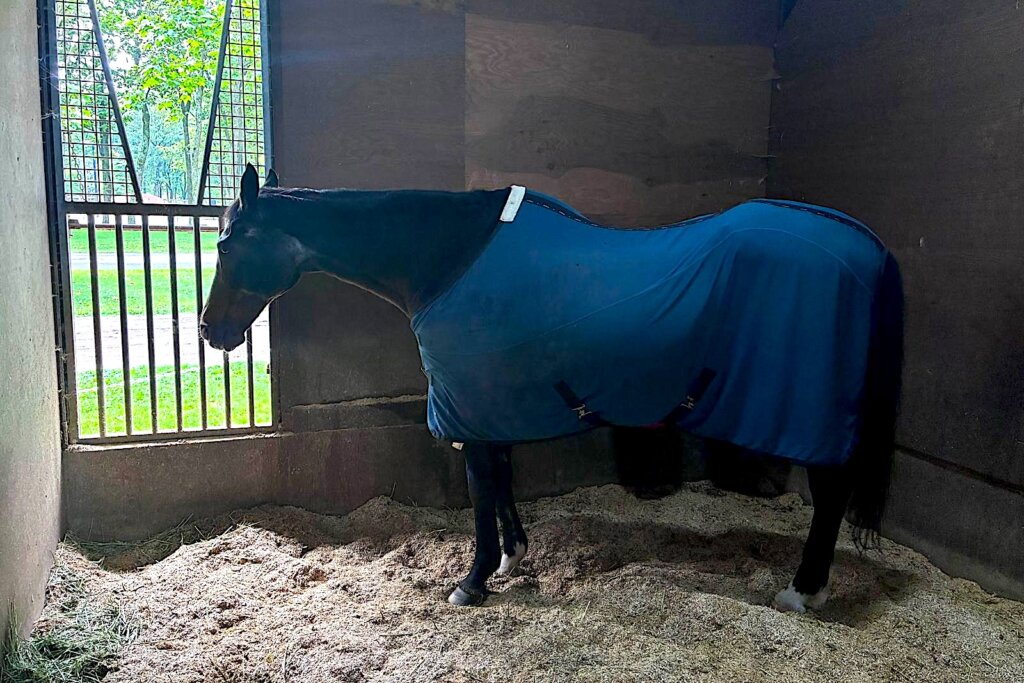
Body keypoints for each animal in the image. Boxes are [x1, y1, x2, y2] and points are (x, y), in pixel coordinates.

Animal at [201, 163, 903, 613]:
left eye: (228, 247)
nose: (211, 331)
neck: (449, 257)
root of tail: (865, 245)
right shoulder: (492, 403)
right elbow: (502, 479)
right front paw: (512, 559)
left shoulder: (469, 402)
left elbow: (481, 489)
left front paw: (474, 581)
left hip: (809, 418)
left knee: (831, 494)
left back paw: (803, 591)